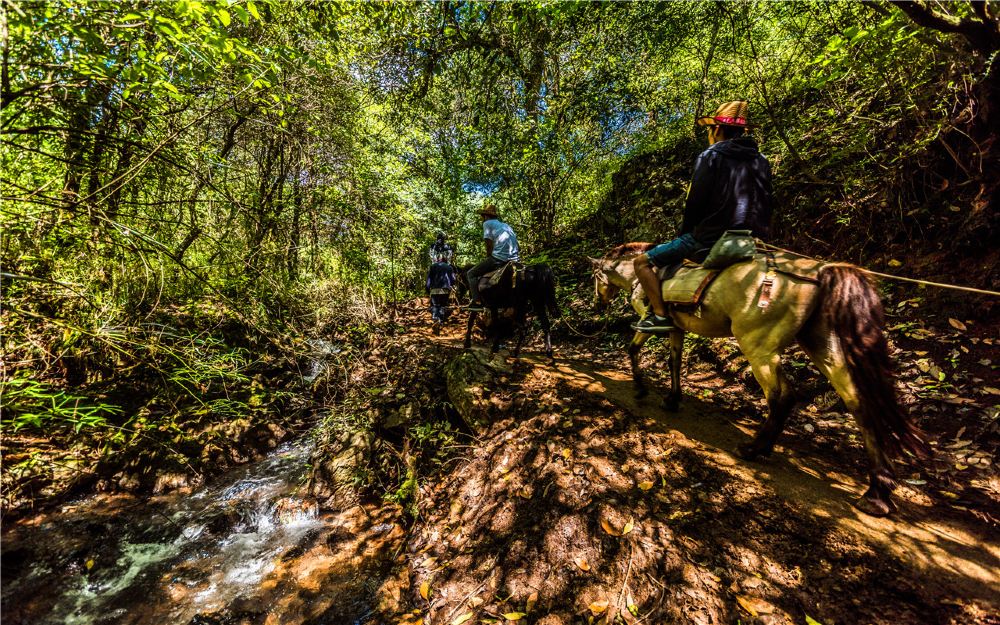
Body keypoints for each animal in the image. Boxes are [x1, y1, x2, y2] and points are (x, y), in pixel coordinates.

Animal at [588, 245, 932, 516]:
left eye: (595, 277)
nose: (597, 304)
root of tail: (822, 272)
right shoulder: (676, 328)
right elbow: (674, 362)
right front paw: (672, 399)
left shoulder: (653, 322)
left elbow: (633, 348)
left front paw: (640, 387)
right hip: (822, 344)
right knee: (857, 403)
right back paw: (878, 492)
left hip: (758, 344)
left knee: (783, 395)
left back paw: (755, 448)